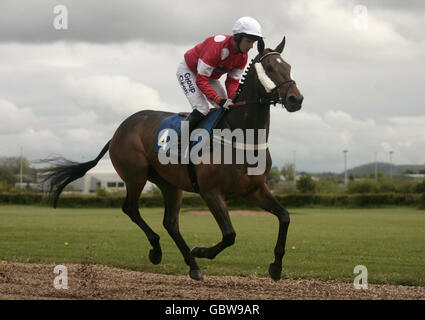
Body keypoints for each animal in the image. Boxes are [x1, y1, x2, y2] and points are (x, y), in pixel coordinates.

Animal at [43, 37, 304, 282]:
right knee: (131, 209)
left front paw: (276, 267)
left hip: (169, 184)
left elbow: (285, 217)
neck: (241, 136)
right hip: (135, 176)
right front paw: (201, 250)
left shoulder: (254, 190)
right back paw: (158, 251)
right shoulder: (211, 192)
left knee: (170, 222)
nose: (296, 99)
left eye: (289, 66)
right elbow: (230, 235)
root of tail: (118, 131)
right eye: (269, 68)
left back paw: (193, 266)